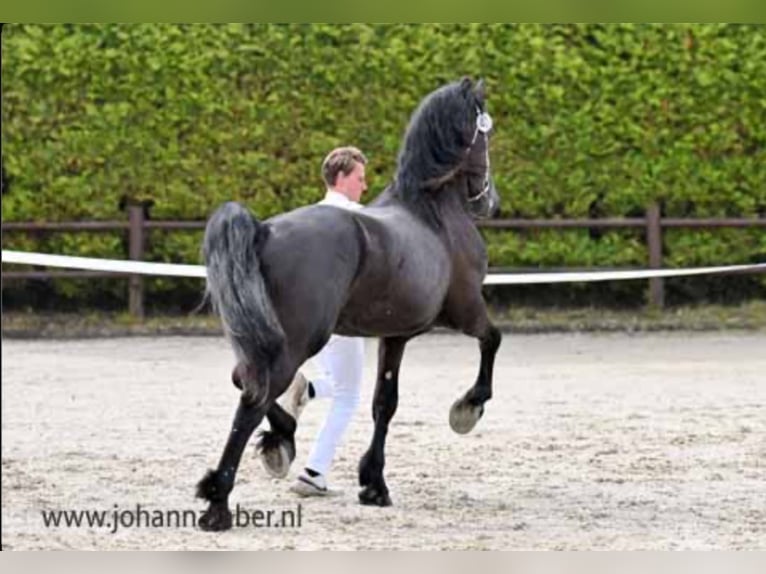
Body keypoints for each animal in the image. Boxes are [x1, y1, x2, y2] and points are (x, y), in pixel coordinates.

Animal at [198, 79, 504, 532]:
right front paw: (468, 407)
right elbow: (492, 340)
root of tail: (264, 231)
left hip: (266, 340)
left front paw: (374, 485)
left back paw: (281, 440)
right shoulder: (466, 311)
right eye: (487, 131)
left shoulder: (396, 336)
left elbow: (384, 403)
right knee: (253, 398)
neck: (432, 213)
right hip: (297, 342)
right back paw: (218, 503)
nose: (490, 201)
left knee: (246, 380)